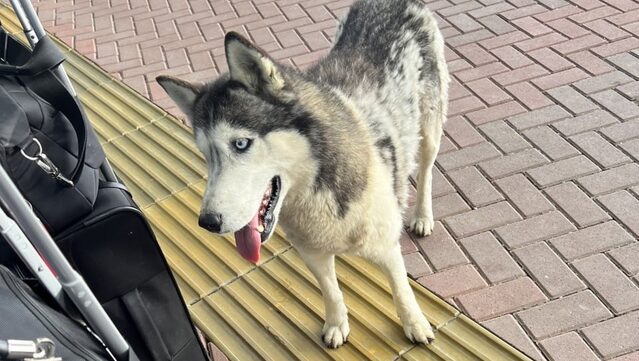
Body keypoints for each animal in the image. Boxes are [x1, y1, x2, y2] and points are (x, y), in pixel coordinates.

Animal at [159, 0, 450, 348]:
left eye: (240, 143)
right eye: (206, 154)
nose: (207, 222)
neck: (316, 188)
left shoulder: (385, 245)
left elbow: (401, 289)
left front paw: (414, 323)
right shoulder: (311, 252)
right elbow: (331, 291)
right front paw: (337, 324)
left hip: (430, 127)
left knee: (427, 168)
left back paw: (422, 216)